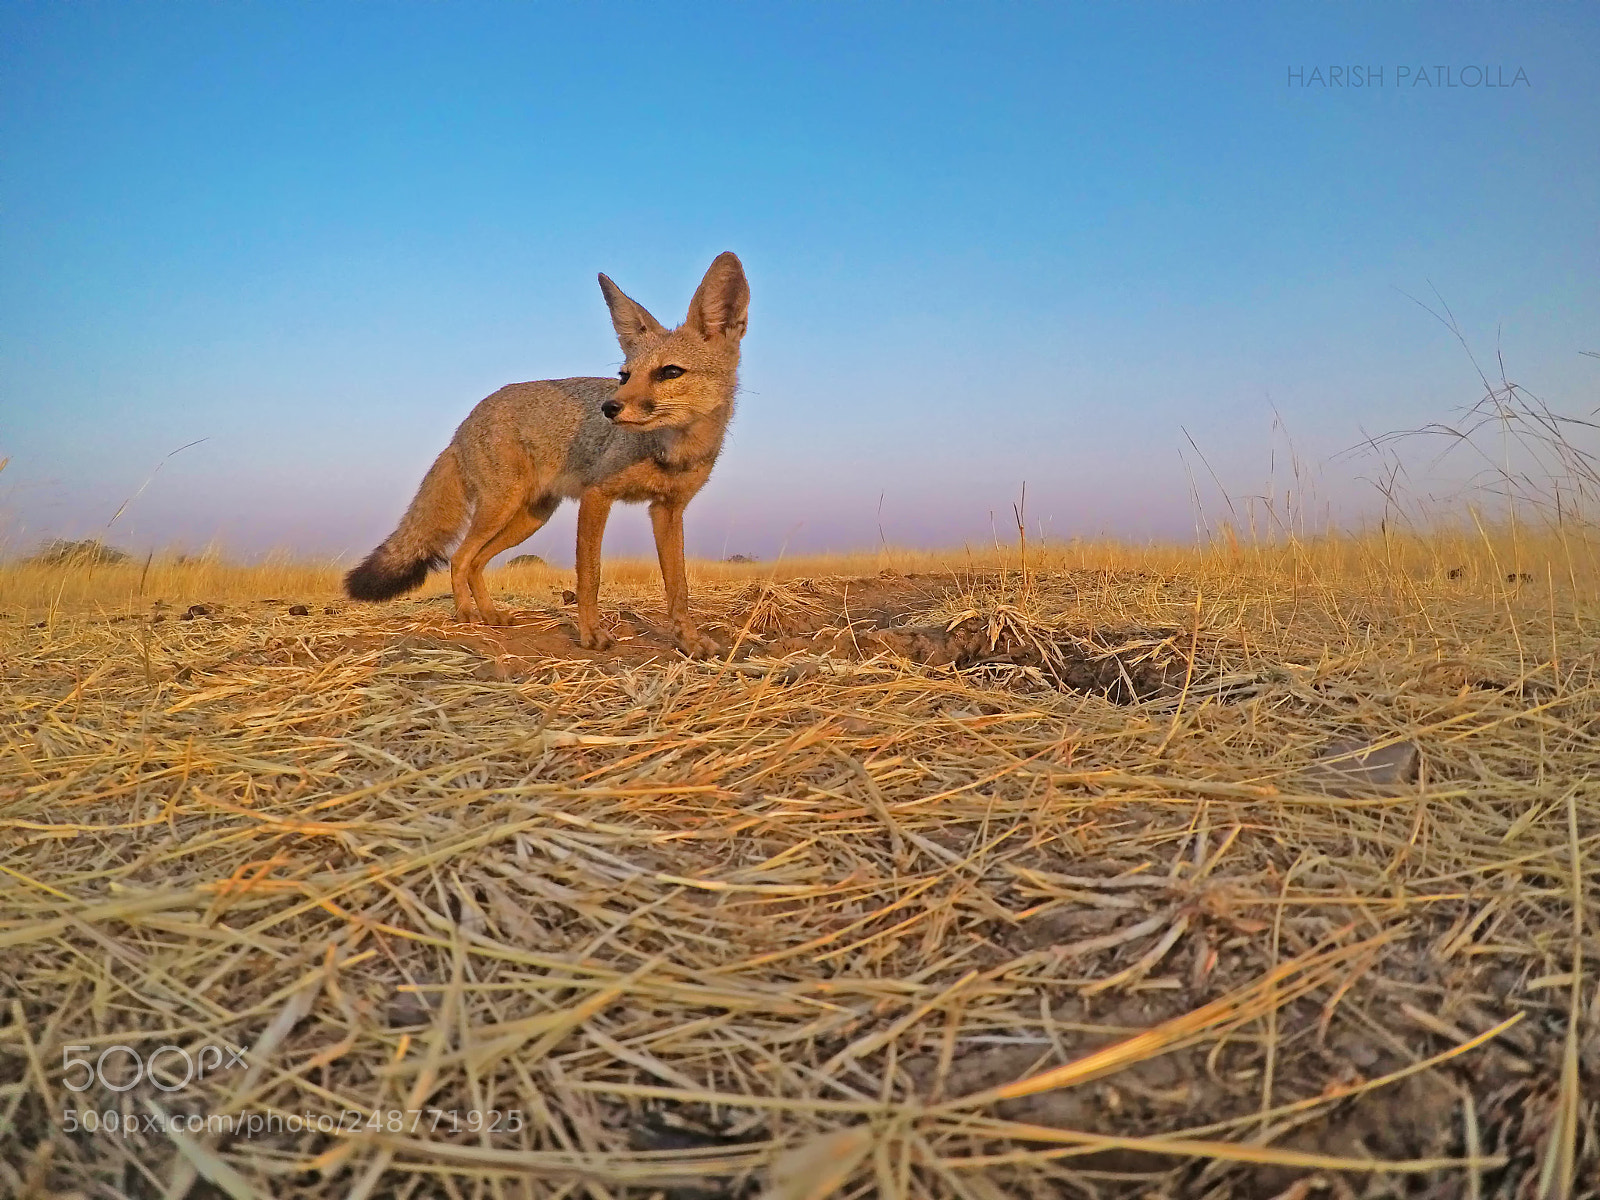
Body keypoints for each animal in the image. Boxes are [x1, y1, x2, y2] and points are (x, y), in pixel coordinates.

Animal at [343, 252, 749, 658]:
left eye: (670, 372)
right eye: (625, 376)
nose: (609, 408)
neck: (673, 451)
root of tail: (462, 428)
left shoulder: (668, 510)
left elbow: (678, 587)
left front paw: (689, 640)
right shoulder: (596, 496)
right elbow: (590, 575)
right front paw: (590, 634)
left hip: (529, 518)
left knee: (475, 562)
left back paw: (491, 614)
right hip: (501, 509)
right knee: (460, 558)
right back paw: (467, 615)